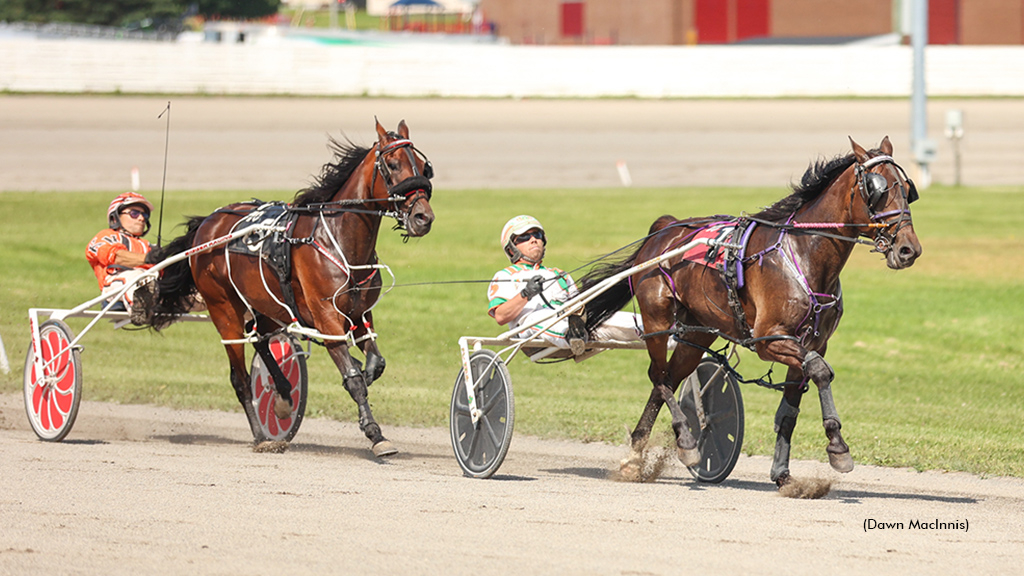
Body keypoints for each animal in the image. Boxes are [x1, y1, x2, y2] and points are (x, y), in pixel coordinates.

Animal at [149, 118, 434, 455]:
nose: (423, 218)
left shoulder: (360, 313)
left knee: (260, 339)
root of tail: (209, 222)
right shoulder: (326, 316)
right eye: (392, 165)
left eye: (424, 167)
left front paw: (360, 371)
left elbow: (375, 364)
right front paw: (375, 434)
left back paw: (284, 394)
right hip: (224, 309)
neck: (339, 240)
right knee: (240, 377)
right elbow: (352, 377)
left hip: (268, 303)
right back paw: (261, 435)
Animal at [581, 136, 925, 485]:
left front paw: (783, 473)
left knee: (668, 379)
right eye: (878, 188)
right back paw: (687, 442)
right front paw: (838, 447)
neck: (805, 253)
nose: (908, 249)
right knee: (659, 377)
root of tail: (667, 228)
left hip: (696, 332)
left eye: (907, 189)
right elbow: (820, 370)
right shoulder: (769, 339)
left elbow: (791, 408)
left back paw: (636, 456)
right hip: (657, 320)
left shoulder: (813, 342)